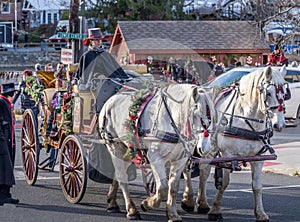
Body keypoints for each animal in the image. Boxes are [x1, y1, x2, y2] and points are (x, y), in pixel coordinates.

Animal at [97, 83, 214, 220]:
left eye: (212, 117)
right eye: (197, 113)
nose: (205, 148)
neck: (171, 121)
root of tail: (109, 101)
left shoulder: (179, 160)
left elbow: (173, 187)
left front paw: (172, 214)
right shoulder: (156, 158)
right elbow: (163, 188)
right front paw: (148, 204)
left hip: (127, 151)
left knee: (117, 174)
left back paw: (112, 203)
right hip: (115, 147)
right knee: (122, 177)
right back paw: (132, 210)